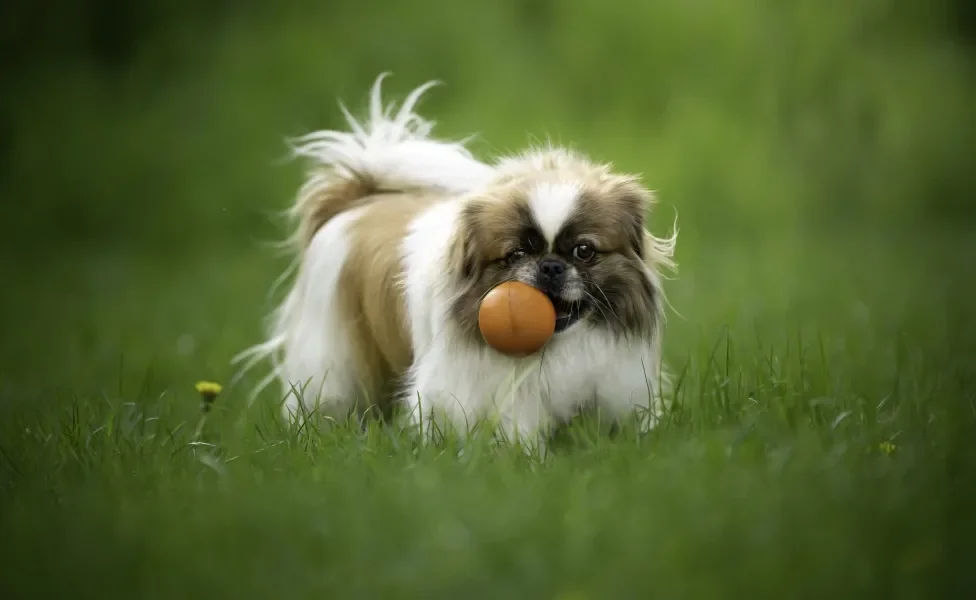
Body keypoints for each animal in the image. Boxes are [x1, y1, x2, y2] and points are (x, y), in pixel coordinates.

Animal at [236, 75, 680, 448]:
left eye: (584, 251)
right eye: (516, 254)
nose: (551, 267)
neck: (556, 347)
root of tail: (359, 199)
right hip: (332, 358)